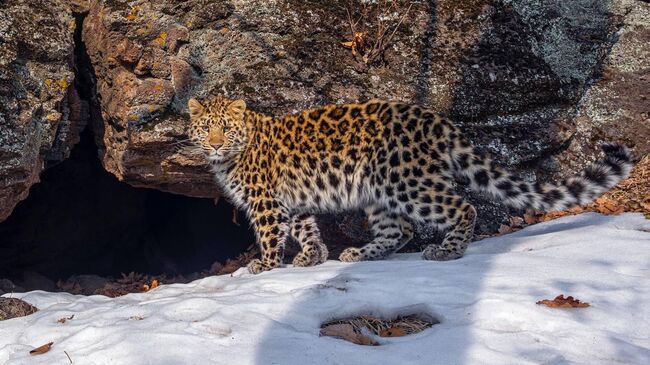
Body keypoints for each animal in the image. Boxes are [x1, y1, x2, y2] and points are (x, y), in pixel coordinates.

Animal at [185, 95, 632, 272]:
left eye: (225, 128)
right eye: (206, 128)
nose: (214, 143)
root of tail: (435, 119)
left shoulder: (265, 202)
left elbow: (269, 234)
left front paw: (263, 265)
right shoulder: (291, 201)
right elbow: (305, 228)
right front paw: (313, 257)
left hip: (408, 183)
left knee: (461, 206)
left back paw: (447, 251)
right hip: (379, 191)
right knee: (399, 229)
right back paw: (359, 254)